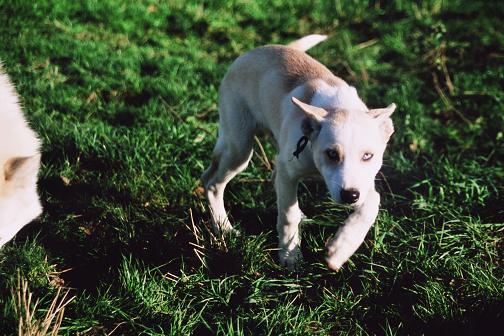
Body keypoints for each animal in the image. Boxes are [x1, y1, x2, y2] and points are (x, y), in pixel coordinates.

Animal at [203, 34, 396, 270]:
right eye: (332, 154)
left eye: (368, 156)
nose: (350, 196)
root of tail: (256, 50)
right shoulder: (289, 172)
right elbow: (287, 215)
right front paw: (290, 257)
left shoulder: (363, 181)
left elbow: (372, 203)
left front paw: (340, 249)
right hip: (238, 146)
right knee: (212, 183)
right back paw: (224, 228)